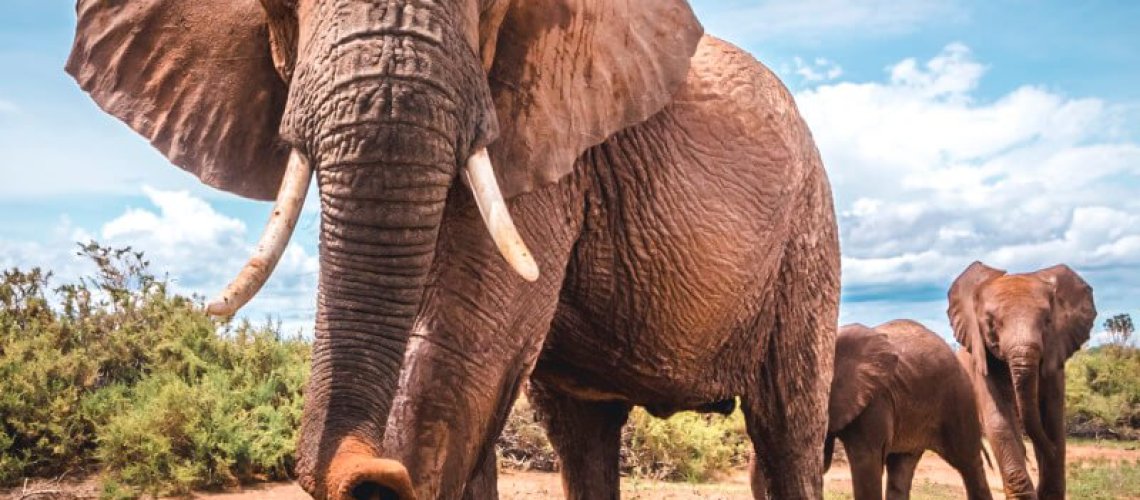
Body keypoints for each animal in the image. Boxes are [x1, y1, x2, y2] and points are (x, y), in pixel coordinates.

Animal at [66, 1, 840, 499]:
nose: (373, 475)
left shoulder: (543, 136)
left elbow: (459, 360)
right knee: (583, 432)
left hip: (808, 239)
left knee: (787, 430)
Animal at [948, 262, 1096, 499]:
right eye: (991, 324)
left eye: (1047, 321)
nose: (1051, 450)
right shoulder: (980, 363)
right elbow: (999, 421)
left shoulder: (1055, 358)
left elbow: (1052, 419)